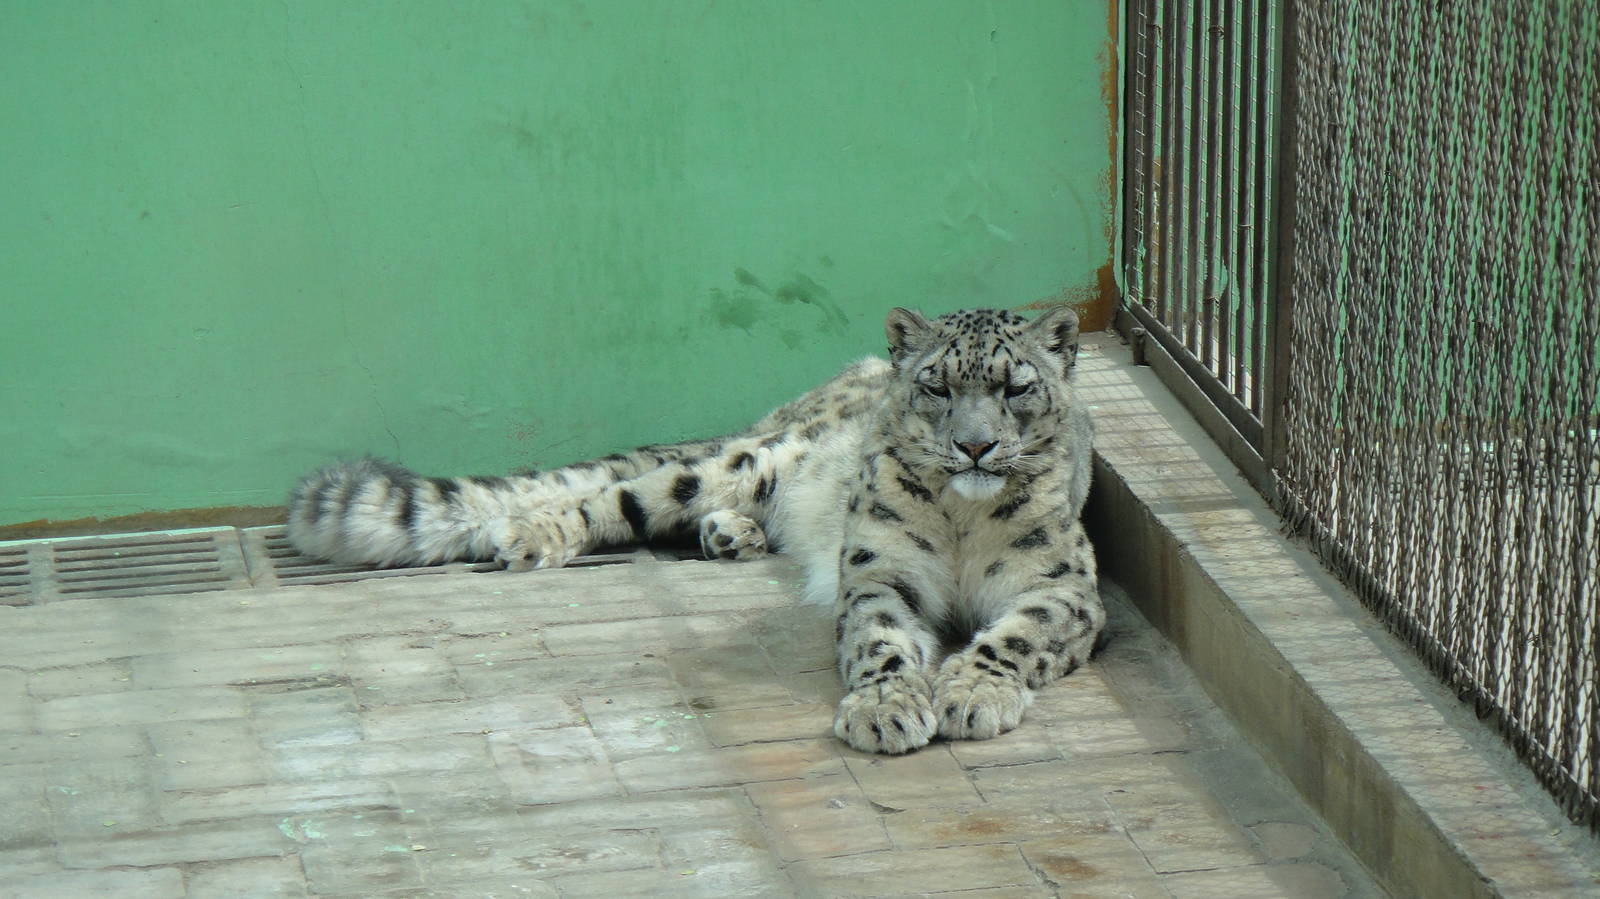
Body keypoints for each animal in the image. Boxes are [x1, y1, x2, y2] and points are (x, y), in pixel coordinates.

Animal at [287, 306, 1104, 754]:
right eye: (937, 386)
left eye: (1016, 388)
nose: (975, 446)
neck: (964, 521)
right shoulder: (882, 572)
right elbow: (879, 639)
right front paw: (887, 708)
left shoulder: (1065, 588)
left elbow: (1016, 635)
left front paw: (972, 690)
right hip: (738, 462)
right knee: (621, 494)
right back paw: (528, 533)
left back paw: (731, 535)